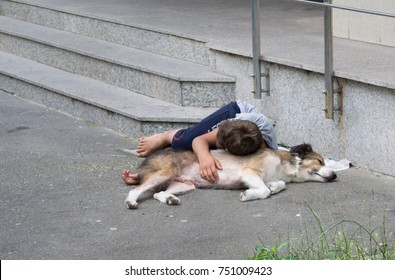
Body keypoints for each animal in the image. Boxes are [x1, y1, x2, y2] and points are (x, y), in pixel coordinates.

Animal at [124, 144, 338, 208]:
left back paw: (170, 199)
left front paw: (273, 187)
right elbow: (263, 191)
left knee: (157, 194)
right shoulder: (249, 172)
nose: (335, 175)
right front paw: (248, 195)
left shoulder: (267, 177)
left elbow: (277, 185)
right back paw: (131, 202)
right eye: (320, 161)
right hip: (165, 172)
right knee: (136, 189)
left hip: (185, 185)